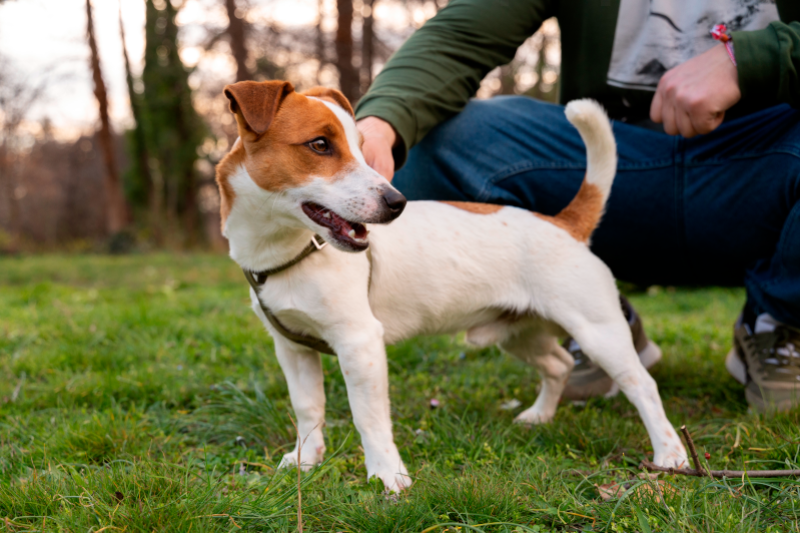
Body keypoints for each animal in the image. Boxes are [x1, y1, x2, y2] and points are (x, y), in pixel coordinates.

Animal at [217, 79, 688, 490]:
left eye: (362, 149)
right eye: (319, 144)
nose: (397, 203)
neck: (290, 251)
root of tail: (563, 223)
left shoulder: (359, 343)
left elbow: (368, 418)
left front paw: (387, 475)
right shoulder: (292, 348)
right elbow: (308, 408)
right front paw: (305, 461)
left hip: (598, 332)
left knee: (642, 385)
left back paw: (671, 456)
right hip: (518, 332)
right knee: (558, 364)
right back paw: (539, 416)